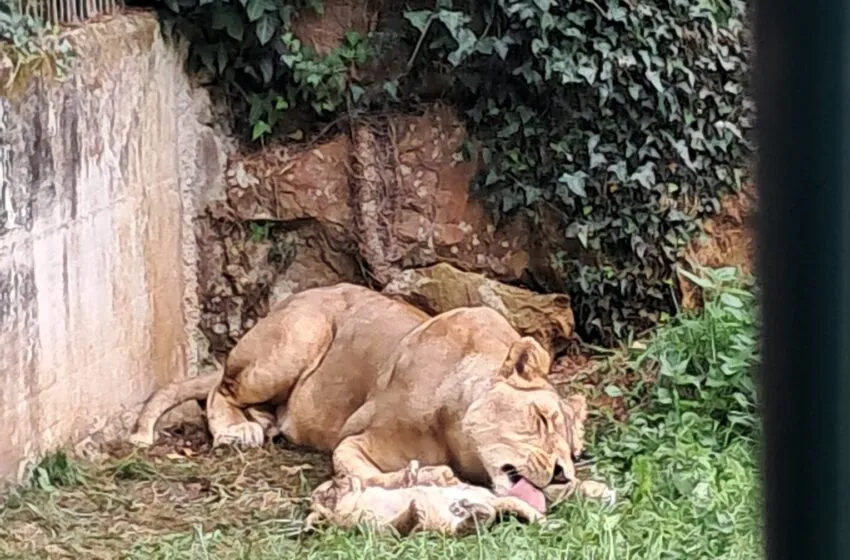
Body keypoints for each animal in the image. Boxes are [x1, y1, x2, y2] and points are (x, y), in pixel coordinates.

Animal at [130, 283, 614, 515]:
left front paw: (591, 488)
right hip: (298, 336)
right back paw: (238, 429)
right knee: (219, 388)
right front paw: (430, 477)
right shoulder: (354, 441)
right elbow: (370, 475)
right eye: (541, 419)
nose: (561, 473)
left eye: (574, 452)